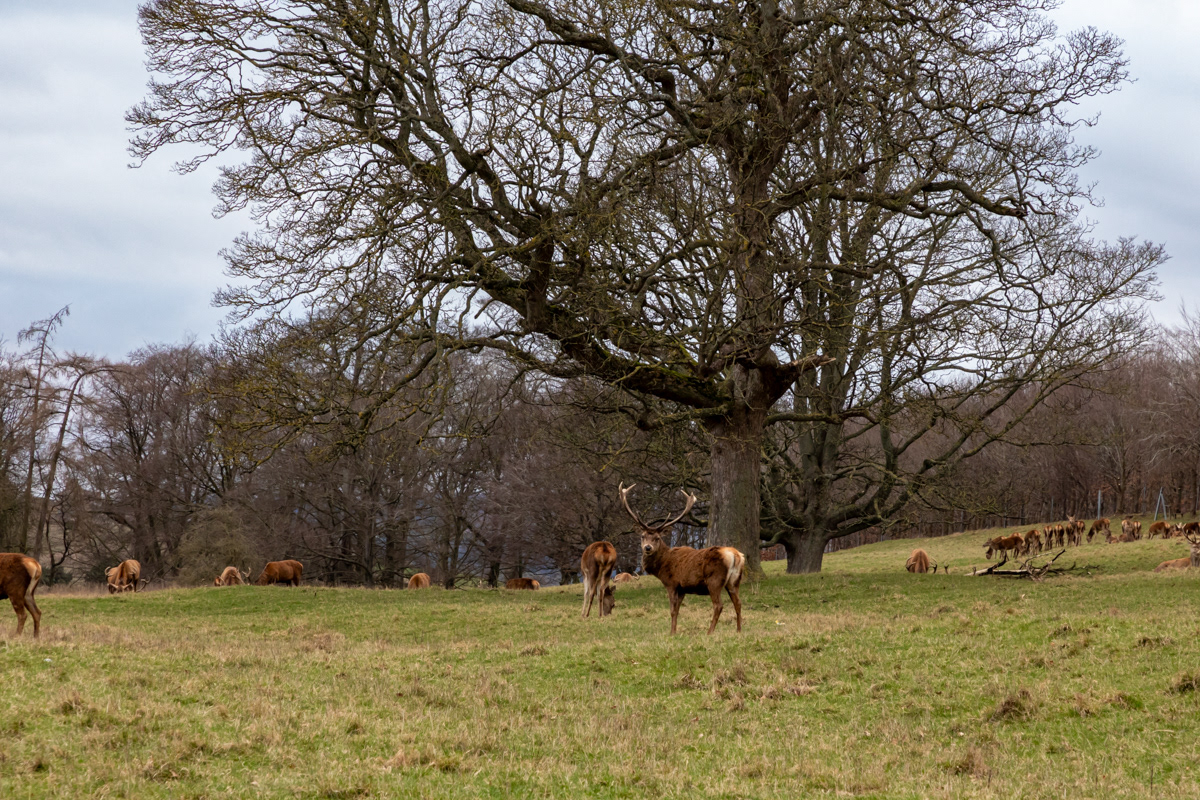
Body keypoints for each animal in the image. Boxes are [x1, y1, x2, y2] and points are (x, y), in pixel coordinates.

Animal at [619, 483, 743, 635]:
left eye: (657, 538)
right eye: (643, 536)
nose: (647, 548)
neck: (661, 565)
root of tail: (736, 555)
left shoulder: (671, 583)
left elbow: (672, 610)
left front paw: (671, 633)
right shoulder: (683, 588)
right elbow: (678, 610)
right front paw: (675, 631)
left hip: (714, 580)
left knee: (718, 605)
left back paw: (709, 632)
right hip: (734, 581)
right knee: (738, 603)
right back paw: (739, 630)